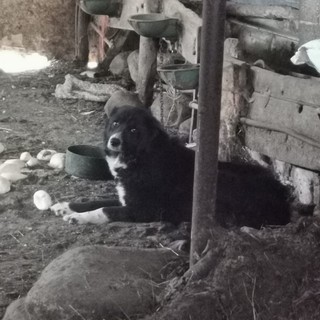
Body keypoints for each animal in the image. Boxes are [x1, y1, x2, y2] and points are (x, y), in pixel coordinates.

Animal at [51, 106, 292, 229]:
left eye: (134, 130)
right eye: (116, 123)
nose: (114, 141)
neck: (141, 158)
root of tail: (283, 198)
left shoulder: (143, 209)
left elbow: (104, 210)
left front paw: (79, 217)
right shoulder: (126, 198)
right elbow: (96, 201)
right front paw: (65, 206)